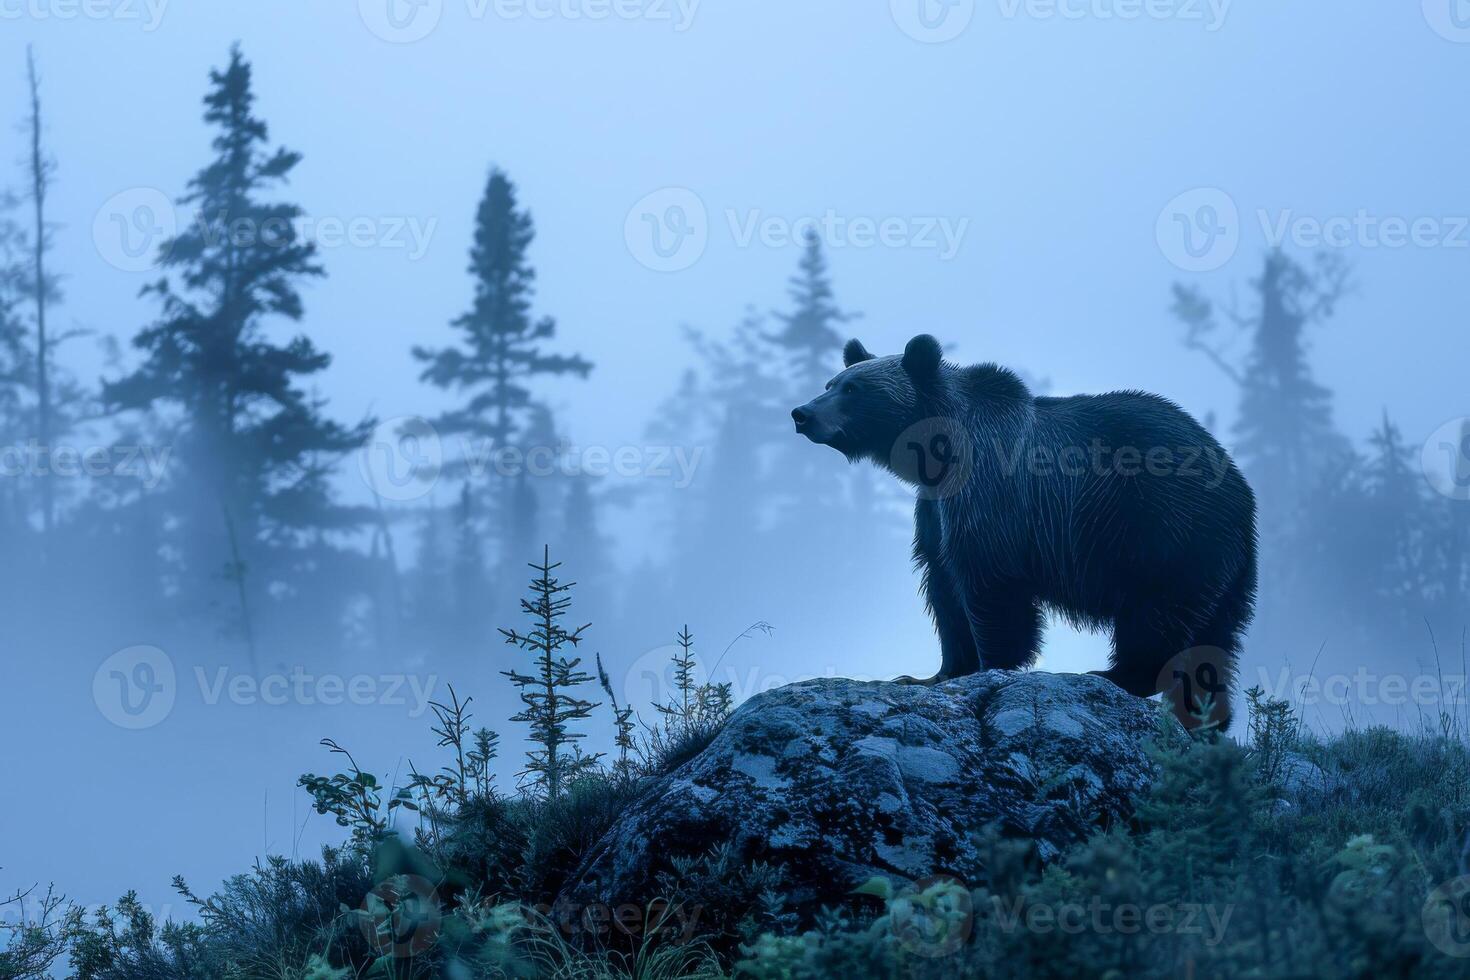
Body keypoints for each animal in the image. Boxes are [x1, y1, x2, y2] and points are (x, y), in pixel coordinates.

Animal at [799, 334, 1258, 728]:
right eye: (831, 383)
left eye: (853, 388)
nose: (803, 413)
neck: (935, 453)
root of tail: (1242, 491)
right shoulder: (933, 509)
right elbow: (943, 585)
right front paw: (929, 674)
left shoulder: (991, 492)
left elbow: (989, 581)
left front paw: (993, 664)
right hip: (1222, 569)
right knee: (1215, 644)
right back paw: (1205, 718)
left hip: (1165, 529)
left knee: (1155, 615)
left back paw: (1116, 675)